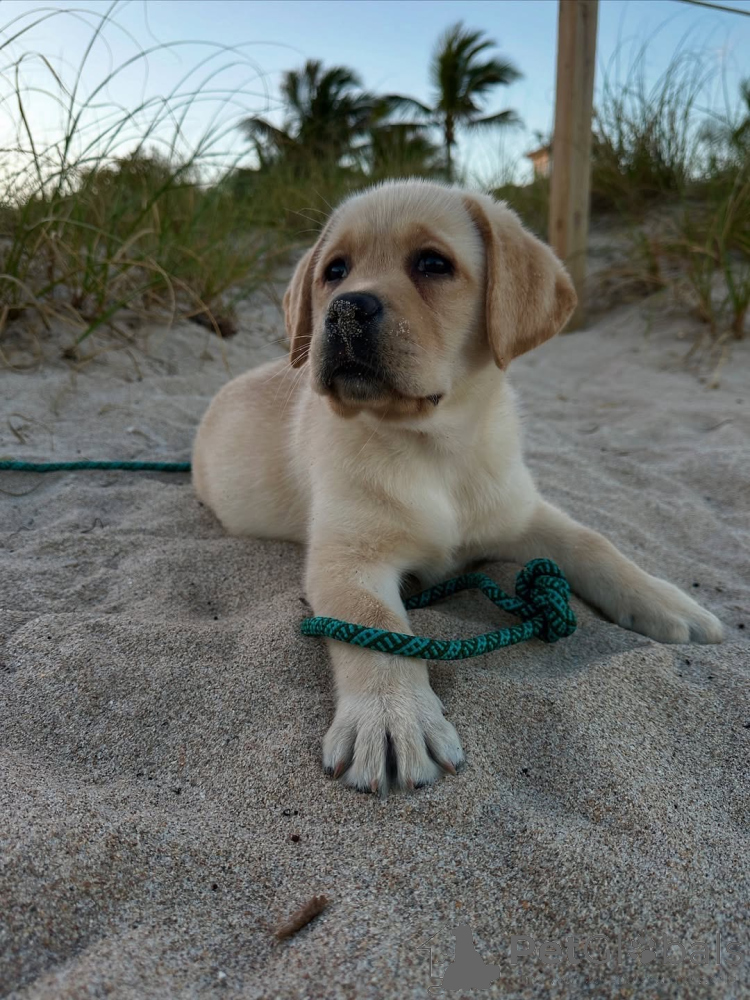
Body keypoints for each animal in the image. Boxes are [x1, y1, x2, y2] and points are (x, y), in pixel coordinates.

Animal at [192, 180, 723, 794]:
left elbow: (595, 542)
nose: (345, 309)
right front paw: (390, 718)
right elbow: (373, 623)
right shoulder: (347, 558)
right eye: (335, 271)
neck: (432, 449)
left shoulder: (520, 512)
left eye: (433, 264)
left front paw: (665, 601)